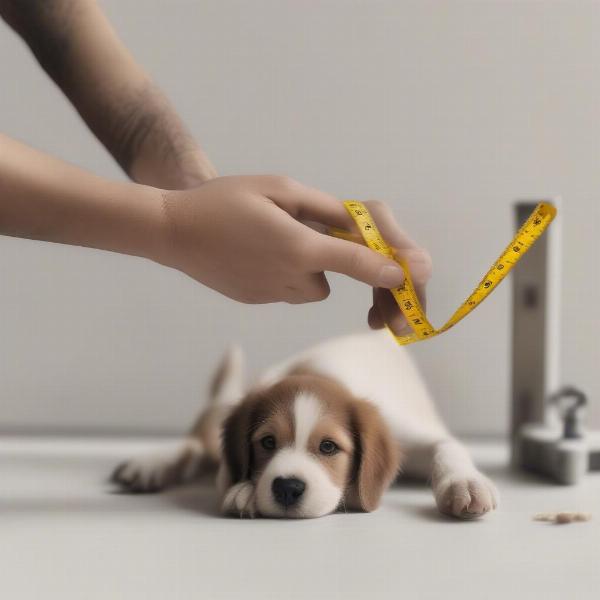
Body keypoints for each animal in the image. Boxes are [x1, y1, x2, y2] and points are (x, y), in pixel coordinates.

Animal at [112, 330, 496, 516]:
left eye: (328, 447)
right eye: (267, 442)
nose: (287, 488)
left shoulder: (410, 433)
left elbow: (448, 446)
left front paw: (463, 483)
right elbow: (225, 472)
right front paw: (246, 489)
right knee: (198, 442)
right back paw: (152, 464)